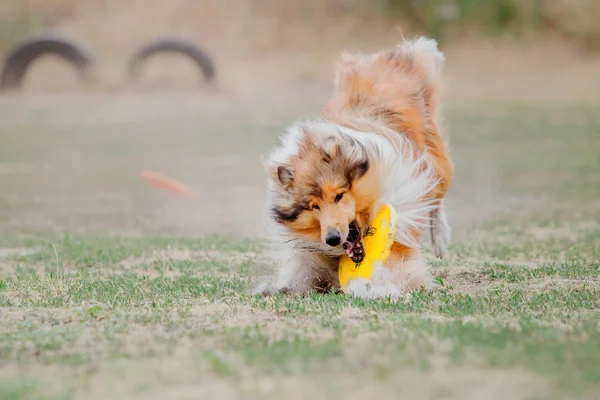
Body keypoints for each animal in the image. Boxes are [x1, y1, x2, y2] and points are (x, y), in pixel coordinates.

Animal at [255, 36, 452, 296]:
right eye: (313, 206)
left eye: (339, 195)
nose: (331, 239)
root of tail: (389, 56)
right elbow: (302, 270)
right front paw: (279, 288)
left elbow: (392, 269)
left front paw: (377, 288)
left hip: (435, 160)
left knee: (437, 195)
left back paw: (440, 239)